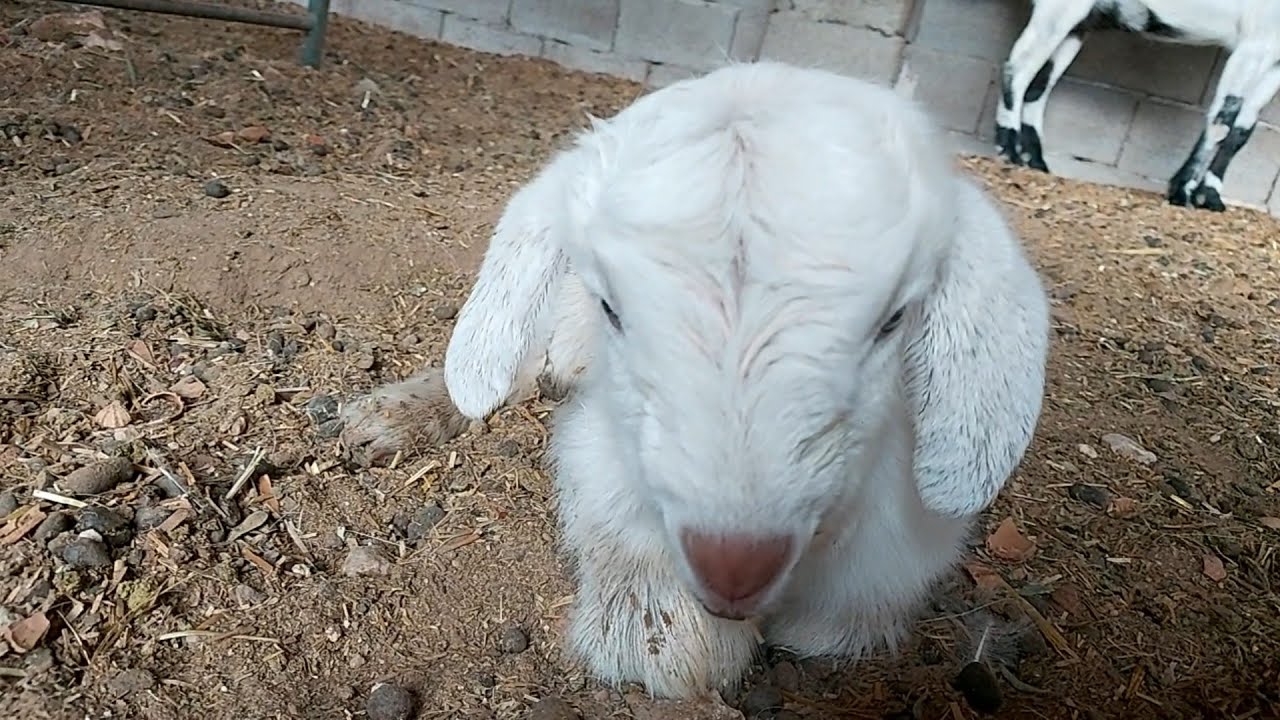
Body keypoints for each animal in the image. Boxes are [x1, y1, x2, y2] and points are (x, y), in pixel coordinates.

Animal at [996, 0, 1280, 211]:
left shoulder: (1274, 58)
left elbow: (1242, 132)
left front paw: (1210, 197)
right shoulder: (1254, 43)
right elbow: (1222, 121)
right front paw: (1184, 193)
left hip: (1080, 22)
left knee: (1039, 83)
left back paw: (1036, 162)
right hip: (1059, 9)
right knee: (1018, 67)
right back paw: (1008, 149)